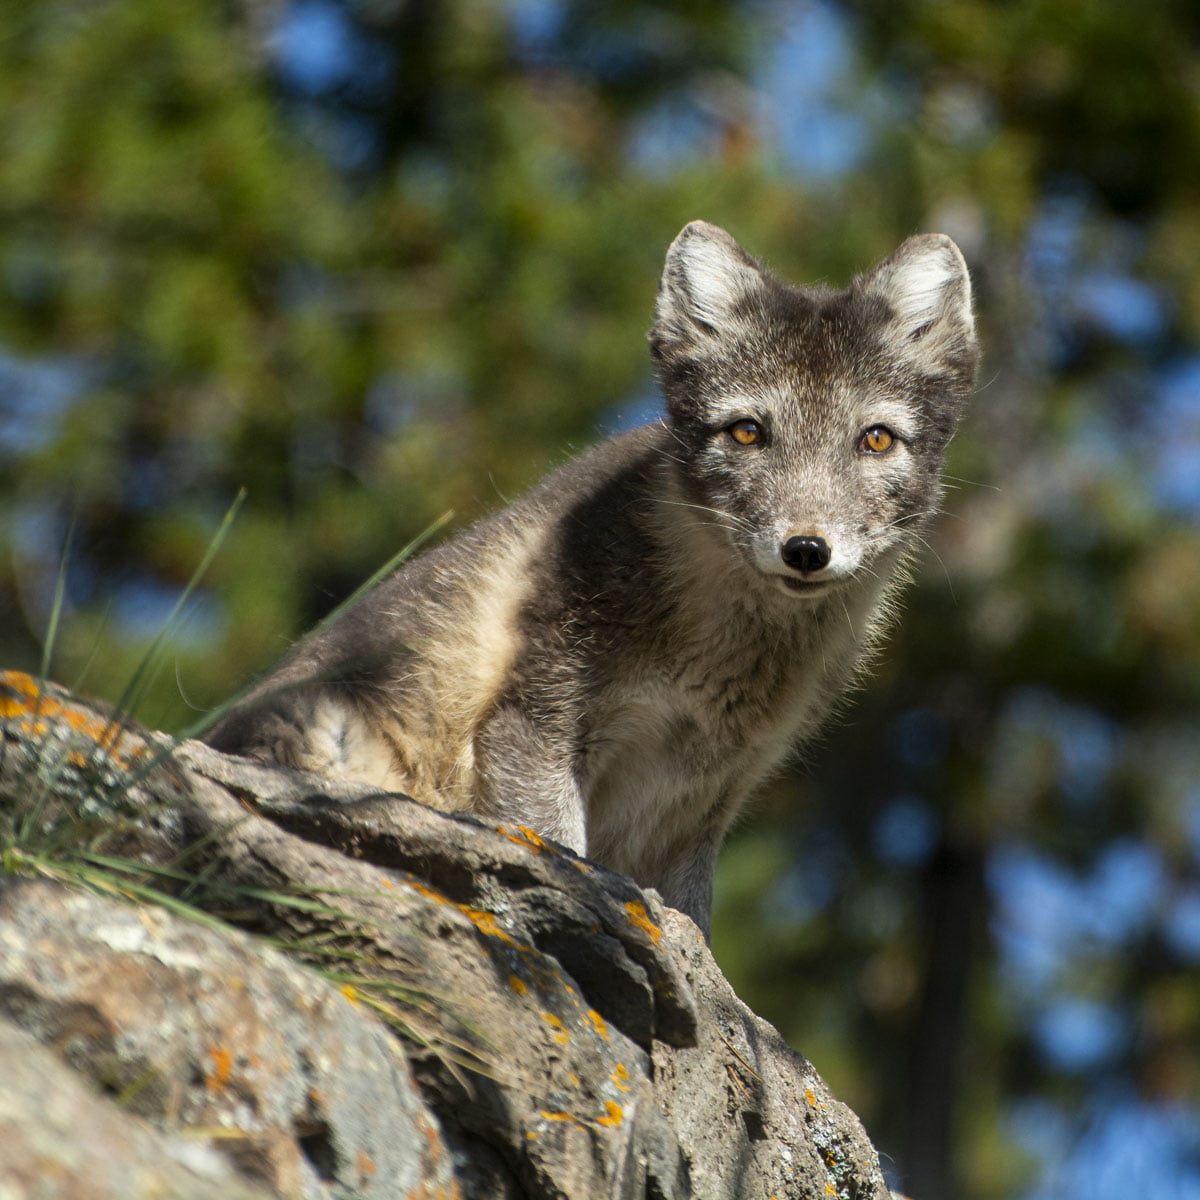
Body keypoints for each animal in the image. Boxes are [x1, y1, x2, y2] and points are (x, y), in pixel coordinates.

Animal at [206, 225, 974, 936]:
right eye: (747, 432)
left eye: (875, 439)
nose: (806, 550)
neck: (724, 663)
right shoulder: (533, 728)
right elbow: (562, 852)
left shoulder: (703, 802)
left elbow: (694, 924)